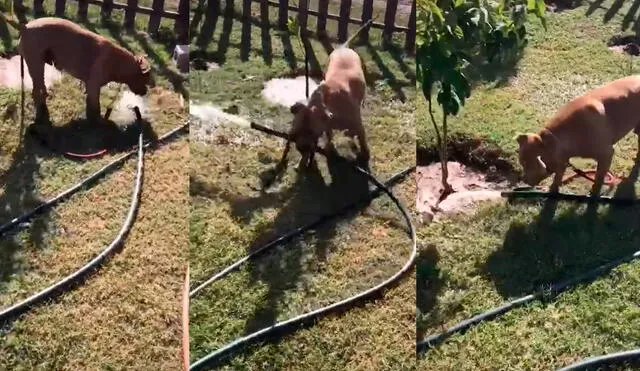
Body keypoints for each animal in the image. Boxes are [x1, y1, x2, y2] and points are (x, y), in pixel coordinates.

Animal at [0, 14, 151, 123]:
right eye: (145, 78)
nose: (145, 92)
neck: (120, 63)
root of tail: (24, 26)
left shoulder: (90, 86)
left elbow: (89, 101)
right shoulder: (94, 86)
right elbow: (95, 106)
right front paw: (98, 121)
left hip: (36, 65)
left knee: (38, 86)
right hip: (36, 64)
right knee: (37, 89)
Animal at [512, 76, 640, 198]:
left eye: (527, 164)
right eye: (521, 163)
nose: (524, 180)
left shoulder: (606, 154)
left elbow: (598, 178)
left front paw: (593, 195)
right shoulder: (563, 159)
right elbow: (558, 177)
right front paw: (552, 190)